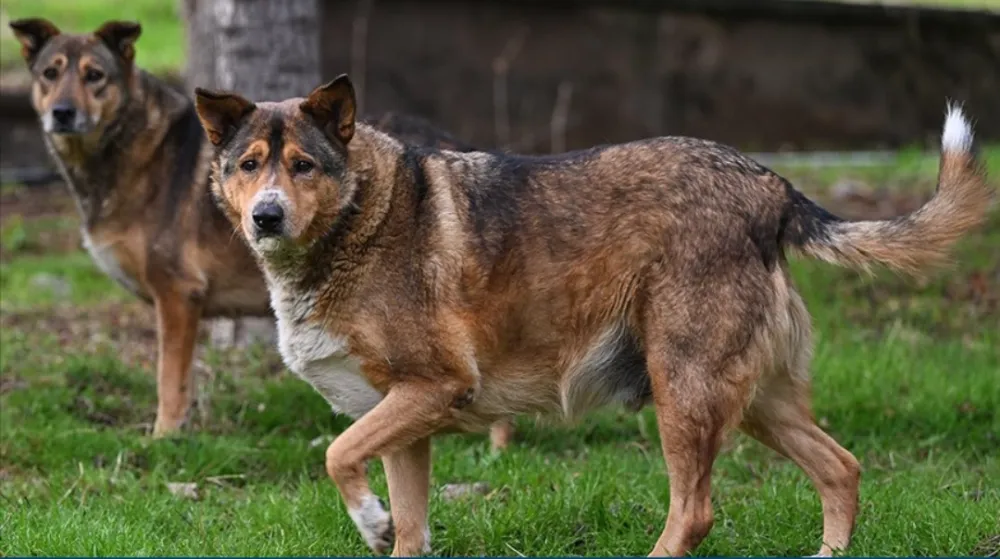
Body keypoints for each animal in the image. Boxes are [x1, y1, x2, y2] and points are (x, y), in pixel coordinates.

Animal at [197, 75, 992, 559]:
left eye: (303, 165)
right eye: (248, 165)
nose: (266, 218)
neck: (359, 218)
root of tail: (773, 187)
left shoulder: (432, 389)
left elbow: (336, 455)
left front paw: (369, 520)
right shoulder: (403, 420)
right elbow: (406, 524)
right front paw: (383, 523)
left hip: (683, 388)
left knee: (695, 511)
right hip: (755, 399)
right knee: (842, 467)